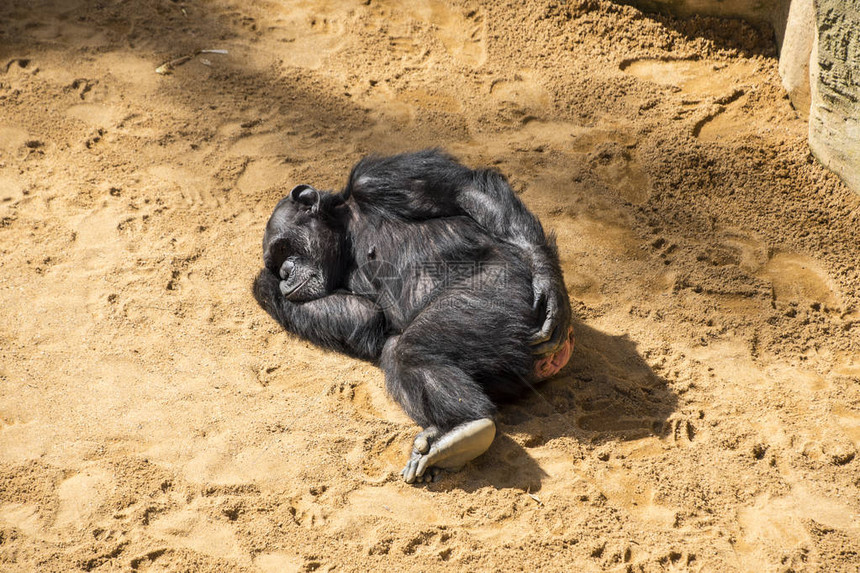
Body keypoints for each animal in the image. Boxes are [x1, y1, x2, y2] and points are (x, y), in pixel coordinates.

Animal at [252, 149, 576, 482]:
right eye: (275, 261)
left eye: (283, 248)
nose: (283, 273)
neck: (345, 232)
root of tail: (551, 360)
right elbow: (367, 318)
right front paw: (265, 283)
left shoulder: (381, 178)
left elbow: (465, 191)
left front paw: (549, 284)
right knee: (398, 349)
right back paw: (453, 436)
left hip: (501, 295)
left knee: (414, 347)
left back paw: (465, 427)